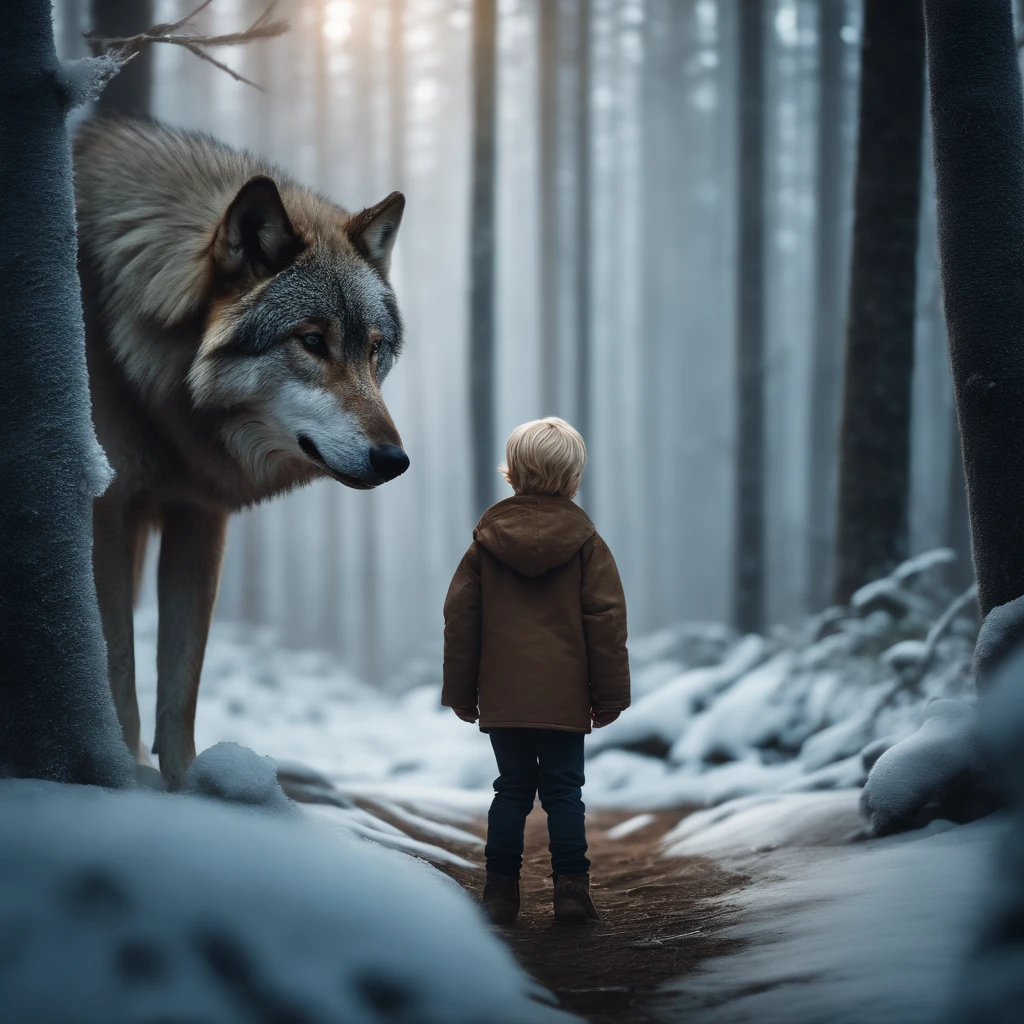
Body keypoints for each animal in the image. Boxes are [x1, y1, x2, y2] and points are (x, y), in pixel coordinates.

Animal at [74, 121, 409, 790]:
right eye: (312, 341)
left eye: (374, 350)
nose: (395, 459)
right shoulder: (107, 512)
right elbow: (118, 660)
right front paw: (125, 781)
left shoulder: (200, 515)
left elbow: (181, 684)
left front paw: (192, 792)